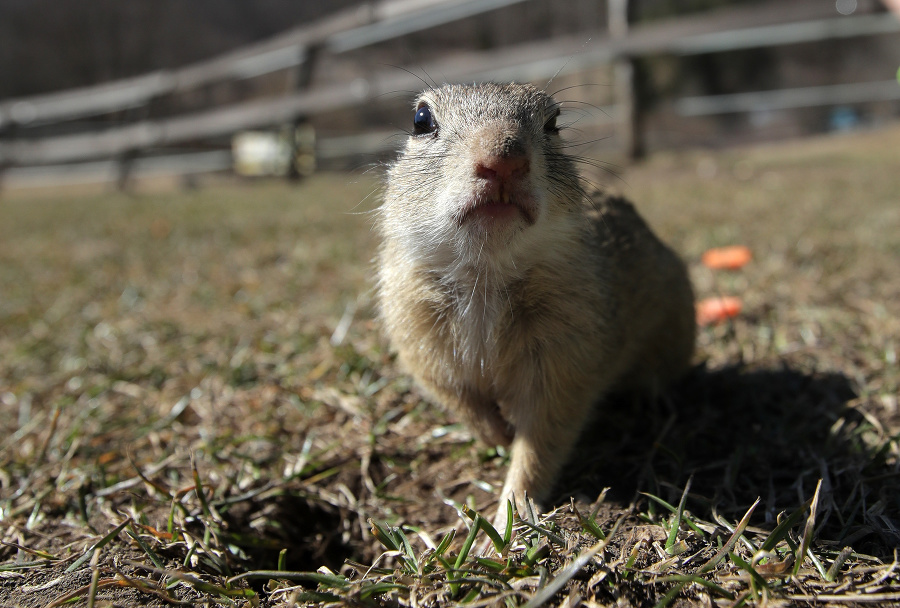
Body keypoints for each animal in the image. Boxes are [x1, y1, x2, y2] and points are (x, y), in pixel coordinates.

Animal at [372, 82, 696, 524]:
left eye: (553, 122)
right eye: (421, 120)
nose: (503, 160)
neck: (485, 275)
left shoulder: (567, 357)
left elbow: (541, 441)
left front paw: (512, 512)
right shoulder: (419, 338)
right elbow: (460, 398)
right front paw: (496, 435)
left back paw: (653, 396)